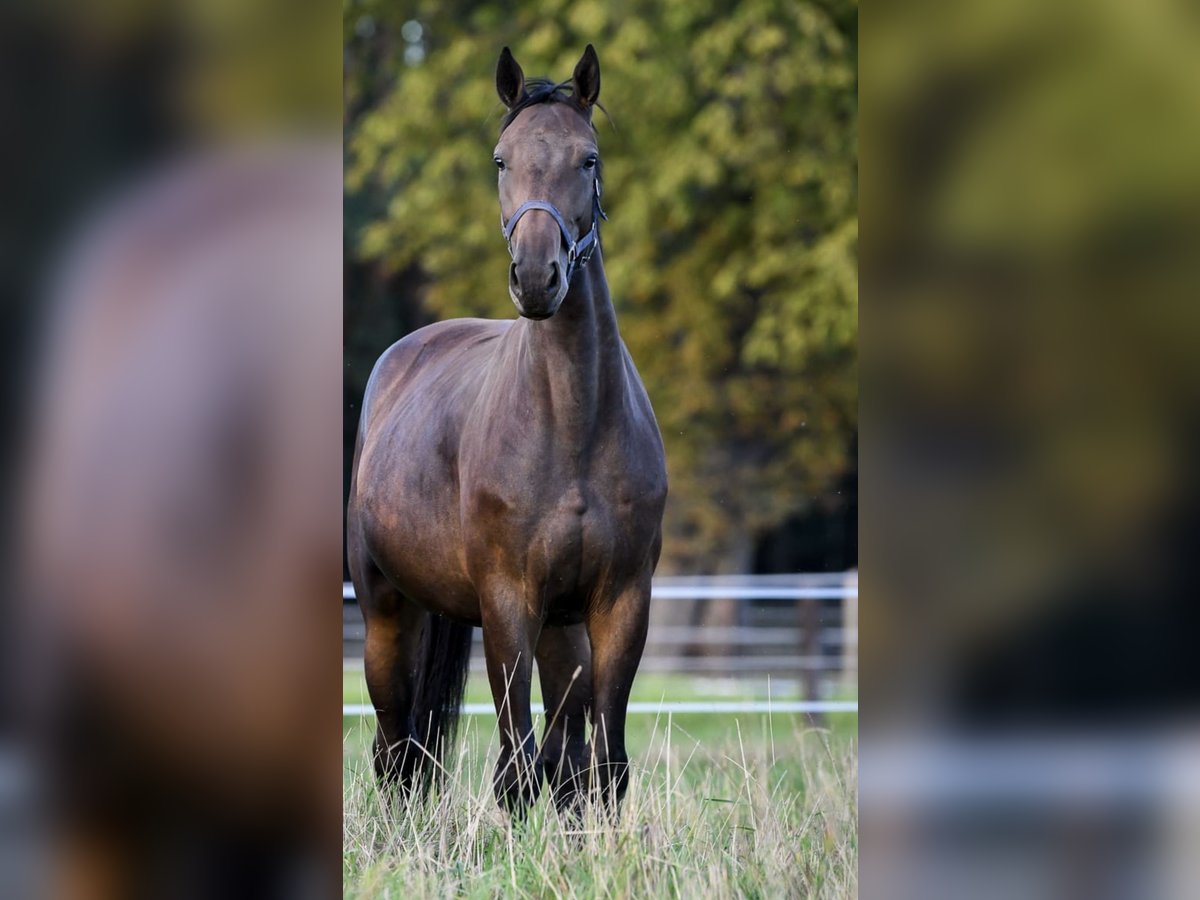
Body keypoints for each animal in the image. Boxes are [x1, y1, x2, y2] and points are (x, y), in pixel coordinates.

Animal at [348, 44, 672, 816]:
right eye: (502, 159)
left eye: (588, 158)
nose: (535, 275)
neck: (571, 425)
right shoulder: (506, 603)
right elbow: (515, 769)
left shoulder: (620, 603)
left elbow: (600, 767)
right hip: (387, 615)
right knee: (396, 748)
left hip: (560, 631)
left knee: (559, 753)